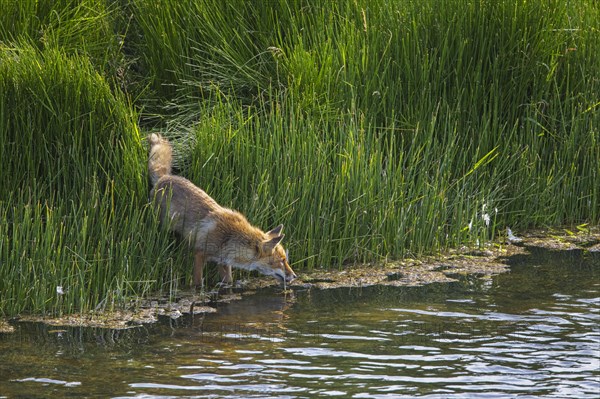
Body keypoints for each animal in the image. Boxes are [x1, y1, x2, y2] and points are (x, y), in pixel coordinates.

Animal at [146, 134, 296, 288]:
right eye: (281, 261)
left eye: (286, 260)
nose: (295, 276)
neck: (229, 238)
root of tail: (164, 177)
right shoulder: (200, 253)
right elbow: (198, 282)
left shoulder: (223, 261)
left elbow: (228, 281)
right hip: (164, 226)